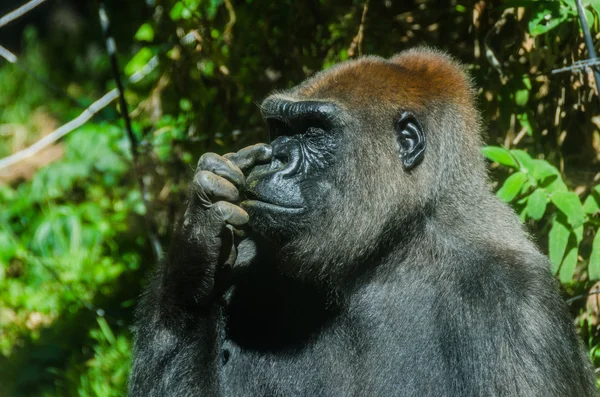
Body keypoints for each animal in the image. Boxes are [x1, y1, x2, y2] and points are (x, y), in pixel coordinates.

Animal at [126, 48, 596, 394]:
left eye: (315, 131)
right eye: (279, 129)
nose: (275, 158)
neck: (393, 246)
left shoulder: (522, 306)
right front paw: (198, 248)